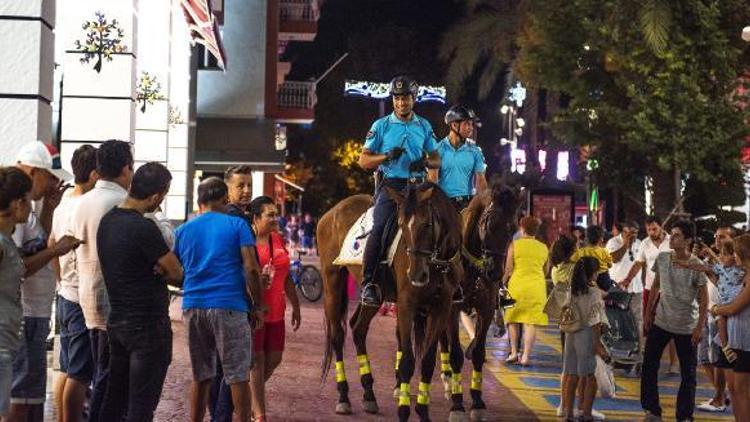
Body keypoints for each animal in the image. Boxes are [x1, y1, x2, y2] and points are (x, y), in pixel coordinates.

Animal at [318, 184, 470, 422]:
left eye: (427, 224)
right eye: (401, 226)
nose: (416, 274)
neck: (436, 262)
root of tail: (331, 212)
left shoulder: (442, 306)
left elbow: (428, 361)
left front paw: (423, 411)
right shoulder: (407, 304)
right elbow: (407, 360)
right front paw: (404, 410)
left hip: (373, 295)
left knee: (358, 328)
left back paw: (369, 394)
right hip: (332, 280)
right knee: (337, 336)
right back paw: (344, 397)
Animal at [434, 183, 524, 420]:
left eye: (513, 228)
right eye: (489, 223)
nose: (495, 272)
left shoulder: (486, 309)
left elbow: (478, 353)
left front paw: (477, 402)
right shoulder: (452, 310)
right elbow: (456, 354)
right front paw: (457, 405)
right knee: (442, 340)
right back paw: (447, 379)